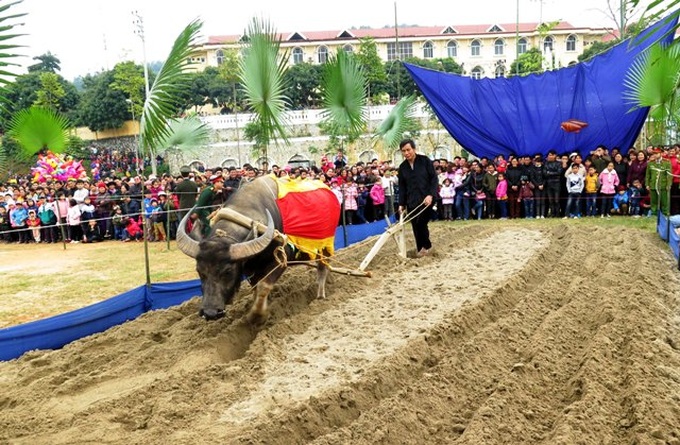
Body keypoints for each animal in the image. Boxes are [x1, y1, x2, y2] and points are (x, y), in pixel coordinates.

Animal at [174, 174, 336, 322]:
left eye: (228, 271)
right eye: (199, 271)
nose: (210, 313)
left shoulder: (280, 260)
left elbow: (264, 286)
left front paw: (256, 315)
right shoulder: (251, 268)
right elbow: (255, 287)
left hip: (326, 246)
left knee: (323, 267)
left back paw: (320, 295)